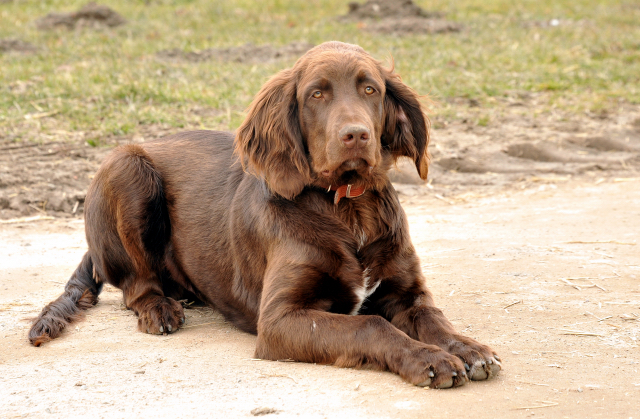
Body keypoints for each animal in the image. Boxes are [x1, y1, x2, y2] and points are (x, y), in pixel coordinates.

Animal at [30, 41, 500, 388]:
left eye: (371, 90)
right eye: (316, 94)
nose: (356, 135)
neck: (349, 208)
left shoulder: (406, 291)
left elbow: (433, 317)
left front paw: (467, 348)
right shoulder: (278, 320)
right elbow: (371, 326)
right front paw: (429, 359)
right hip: (127, 169)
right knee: (135, 285)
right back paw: (160, 308)